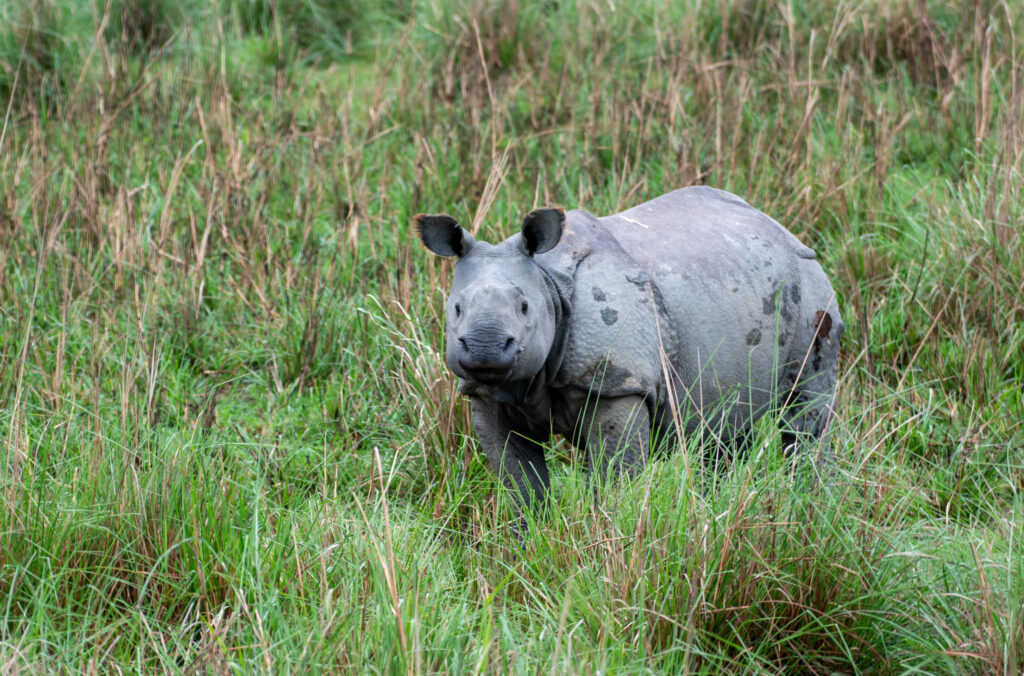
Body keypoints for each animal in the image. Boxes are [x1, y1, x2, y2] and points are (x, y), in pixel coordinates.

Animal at [417, 186, 842, 521]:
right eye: (456, 309)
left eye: (524, 308)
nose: (485, 347)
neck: (549, 282)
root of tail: (779, 226)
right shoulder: (486, 395)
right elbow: (521, 486)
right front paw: (527, 544)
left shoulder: (619, 384)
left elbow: (613, 477)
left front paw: (604, 540)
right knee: (725, 430)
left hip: (812, 289)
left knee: (805, 412)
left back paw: (805, 506)